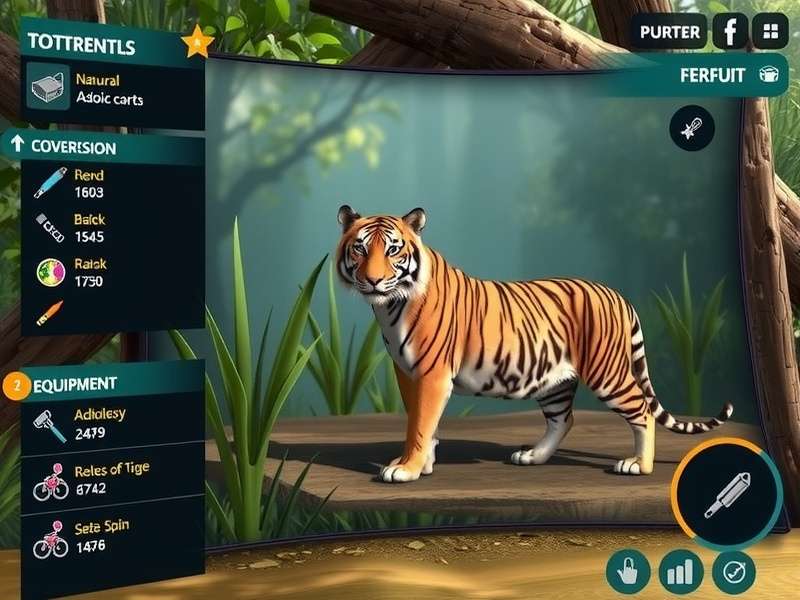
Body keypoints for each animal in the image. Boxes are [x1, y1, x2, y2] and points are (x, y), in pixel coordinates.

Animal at [335, 205, 733, 483]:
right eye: (360, 249)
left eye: (393, 250)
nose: (373, 281)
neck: (390, 308)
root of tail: (619, 295)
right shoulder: (408, 374)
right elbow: (421, 423)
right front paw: (423, 463)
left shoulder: (432, 376)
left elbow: (419, 425)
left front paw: (406, 470)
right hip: (555, 381)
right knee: (563, 419)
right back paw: (532, 457)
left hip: (608, 373)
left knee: (643, 411)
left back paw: (638, 465)